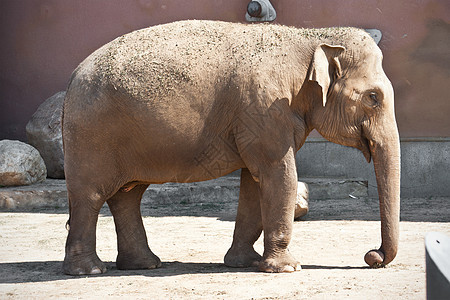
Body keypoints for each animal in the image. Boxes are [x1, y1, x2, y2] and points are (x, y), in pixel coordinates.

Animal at [60, 19, 400, 276]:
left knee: (127, 196)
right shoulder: (265, 109)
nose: (372, 256)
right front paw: (287, 268)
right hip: (90, 134)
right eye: (373, 97)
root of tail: (72, 78)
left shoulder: (258, 119)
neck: (312, 36)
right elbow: (280, 176)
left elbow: (254, 183)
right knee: (90, 196)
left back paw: (145, 264)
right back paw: (90, 270)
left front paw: (245, 263)